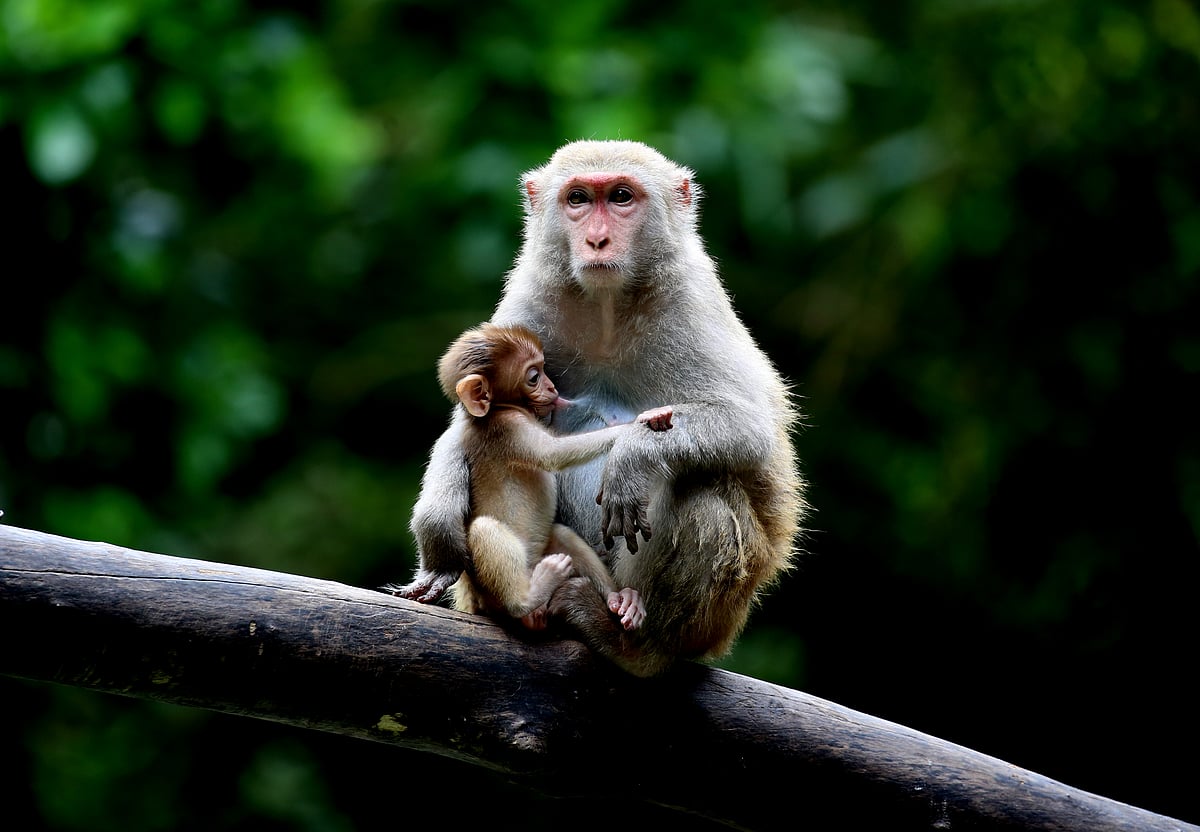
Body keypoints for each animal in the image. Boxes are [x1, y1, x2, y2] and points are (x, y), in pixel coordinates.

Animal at [437, 321, 673, 631]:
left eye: (543, 369)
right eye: (534, 377)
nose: (552, 387)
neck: (497, 412)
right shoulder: (511, 427)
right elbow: (554, 454)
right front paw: (642, 420)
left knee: (562, 535)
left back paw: (618, 599)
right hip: (491, 593)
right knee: (485, 530)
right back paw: (528, 599)